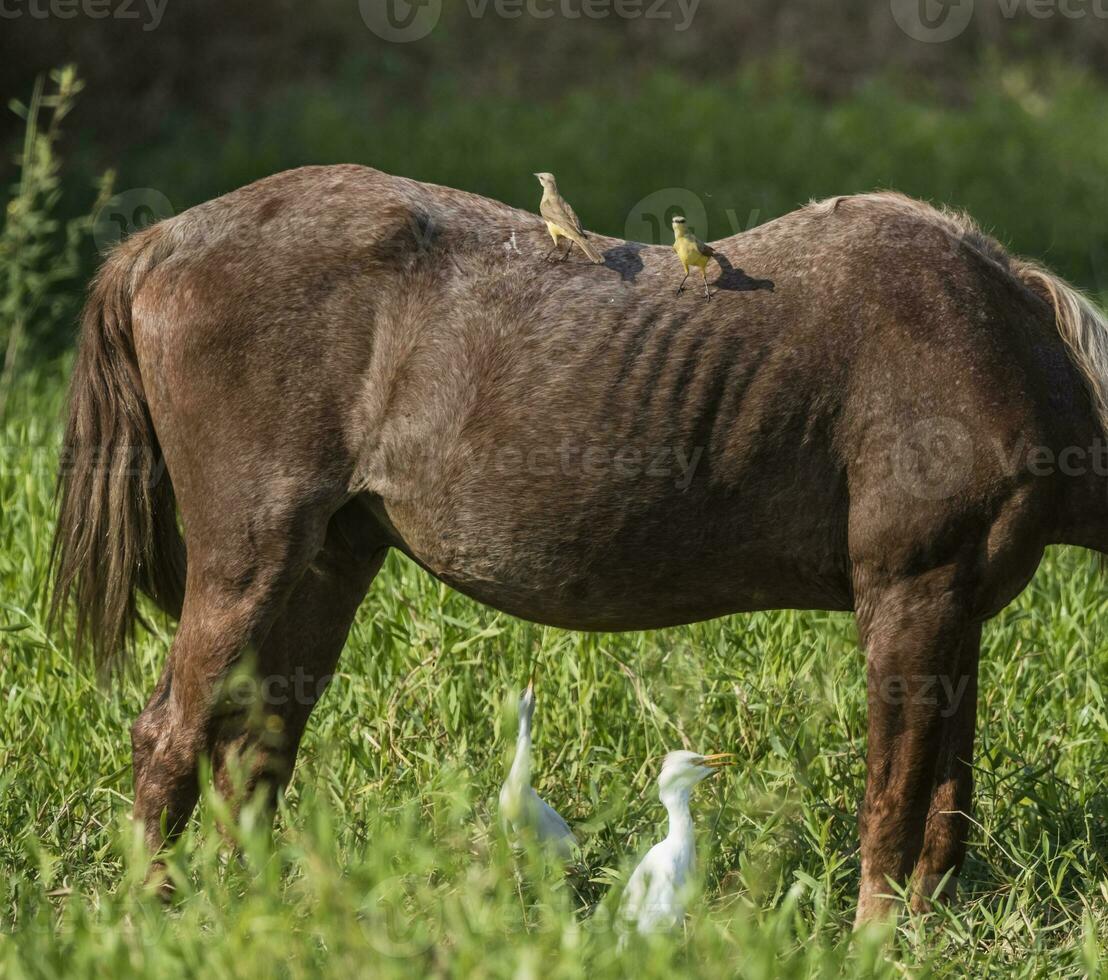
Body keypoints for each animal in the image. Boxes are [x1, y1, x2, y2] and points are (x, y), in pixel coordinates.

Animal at [52, 164, 1108, 922]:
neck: (1006, 346)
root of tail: (161, 242)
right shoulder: (909, 598)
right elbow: (893, 800)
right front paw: (876, 938)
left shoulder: (956, 613)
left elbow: (946, 797)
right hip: (249, 561)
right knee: (169, 737)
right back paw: (150, 913)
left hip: (324, 566)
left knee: (254, 750)